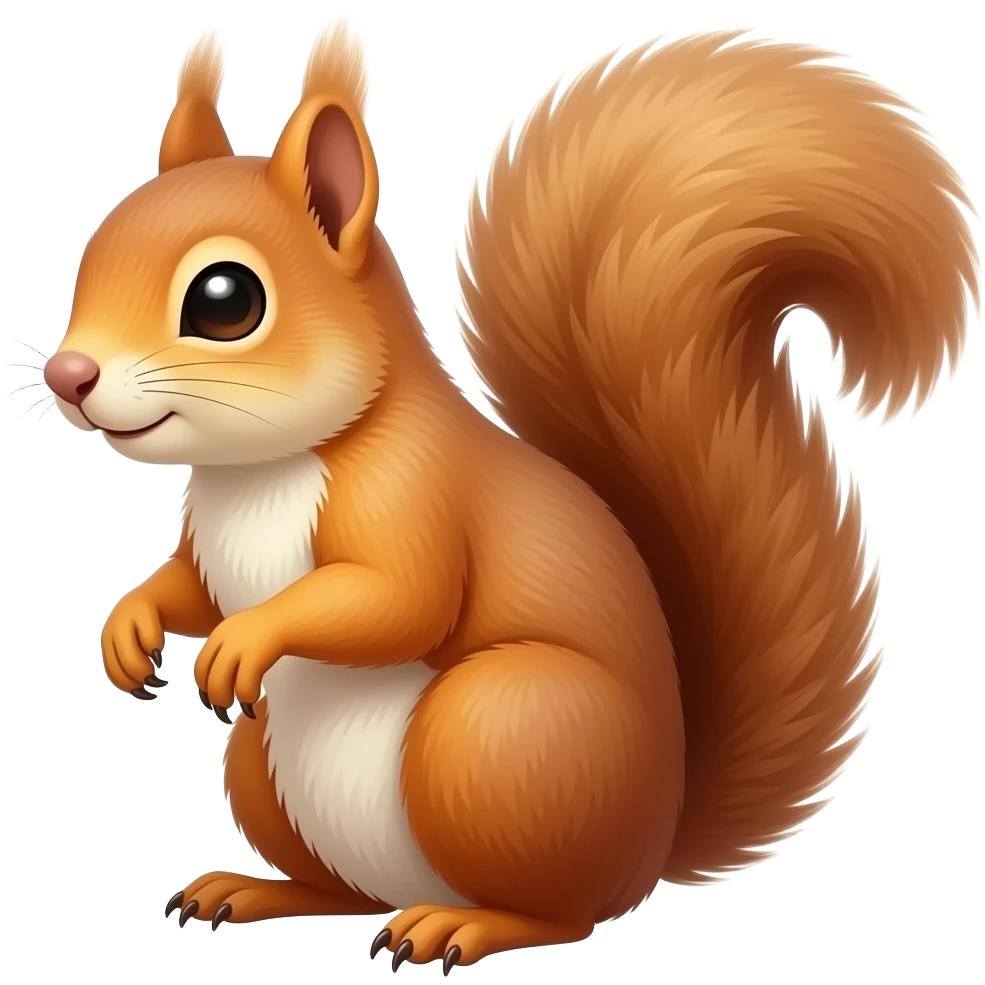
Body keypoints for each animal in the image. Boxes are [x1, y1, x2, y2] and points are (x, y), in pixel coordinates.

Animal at [43, 10, 980, 973]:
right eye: (91, 253)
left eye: (225, 300)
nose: (67, 375)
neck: (261, 470)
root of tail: (652, 844)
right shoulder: (209, 541)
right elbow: (188, 586)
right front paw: (127, 628)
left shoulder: (416, 495)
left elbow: (398, 599)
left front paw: (244, 639)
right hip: (264, 762)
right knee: (342, 891)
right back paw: (257, 889)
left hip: (496, 732)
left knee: (561, 911)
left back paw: (463, 925)